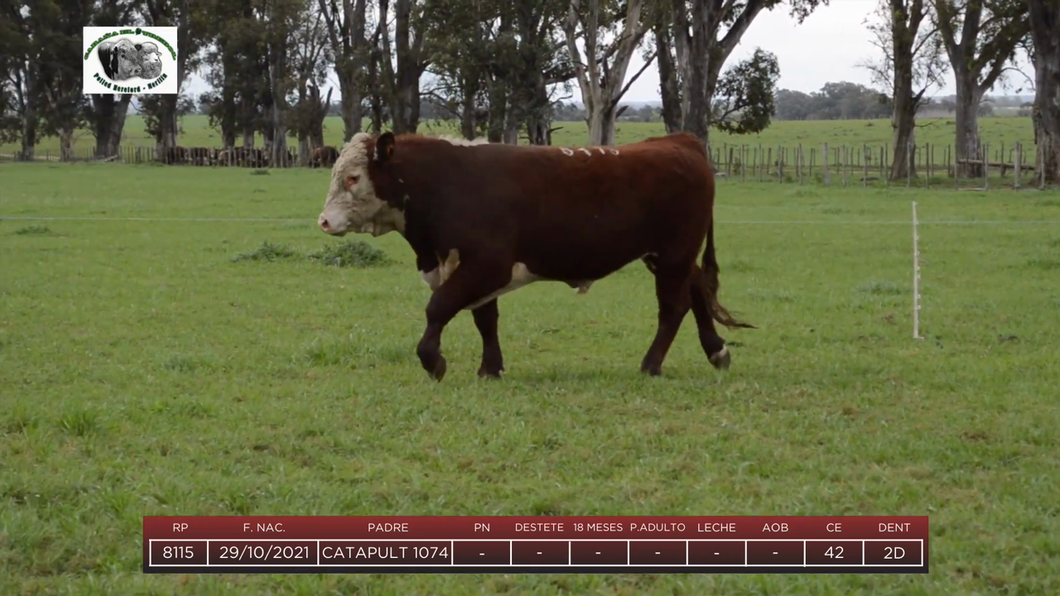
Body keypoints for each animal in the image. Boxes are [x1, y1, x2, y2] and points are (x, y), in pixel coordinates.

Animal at [315, 130, 754, 379]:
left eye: (352, 177)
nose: (324, 221)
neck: (446, 183)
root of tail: (678, 141)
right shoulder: (471, 269)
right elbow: (484, 319)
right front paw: (490, 368)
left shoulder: (486, 265)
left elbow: (438, 307)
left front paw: (433, 361)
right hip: (669, 256)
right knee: (697, 290)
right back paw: (717, 351)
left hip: (673, 253)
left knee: (673, 307)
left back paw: (651, 364)